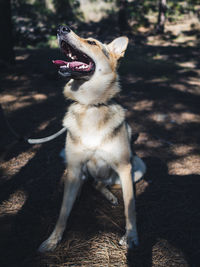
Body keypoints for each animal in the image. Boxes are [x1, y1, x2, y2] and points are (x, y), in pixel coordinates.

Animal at [38, 25, 146, 253]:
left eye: (92, 42)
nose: (62, 28)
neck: (90, 105)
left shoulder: (125, 168)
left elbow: (130, 207)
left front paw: (131, 236)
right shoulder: (75, 167)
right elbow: (63, 211)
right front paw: (53, 239)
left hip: (137, 168)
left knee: (100, 184)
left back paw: (111, 195)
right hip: (73, 173)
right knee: (88, 184)